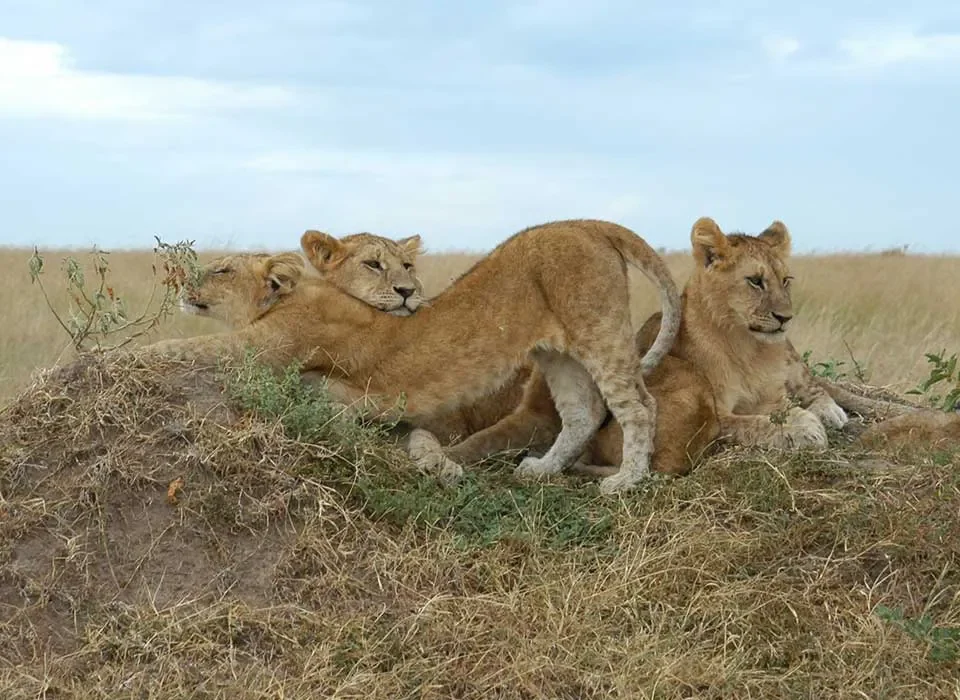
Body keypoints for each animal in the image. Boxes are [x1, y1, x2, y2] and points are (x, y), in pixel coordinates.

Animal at [139, 219, 683, 494]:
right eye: (373, 264)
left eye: (222, 270)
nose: (185, 283)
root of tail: (586, 223)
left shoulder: (271, 343)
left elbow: (191, 348)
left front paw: (134, 356)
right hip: (556, 353)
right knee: (582, 412)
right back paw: (542, 470)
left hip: (597, 327)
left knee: (638, 405)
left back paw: (626, 481)